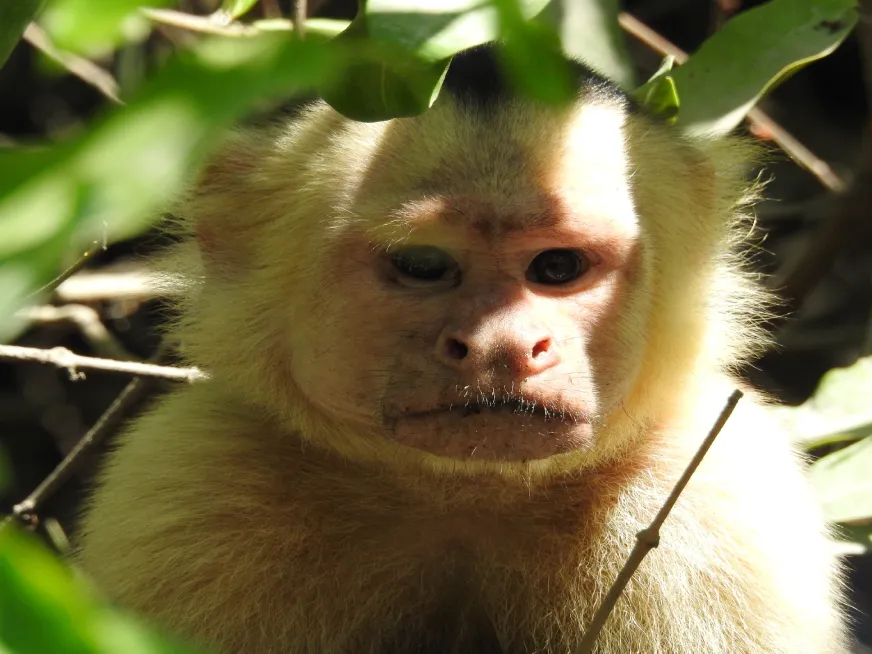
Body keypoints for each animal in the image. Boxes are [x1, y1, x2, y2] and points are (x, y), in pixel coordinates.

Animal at [75, 44, 849, 653]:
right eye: (423, 265)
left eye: (557, 267)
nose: (500, 345)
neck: (463, 495)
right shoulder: (185, 491)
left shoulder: (724, 517)